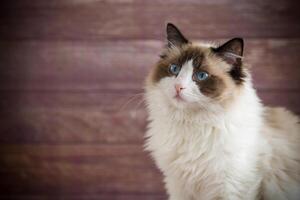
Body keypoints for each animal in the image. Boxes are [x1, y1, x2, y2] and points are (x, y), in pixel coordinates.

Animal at [144, 22, 298, 199]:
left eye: (201, 75)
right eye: (174, 69)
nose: (178, 87)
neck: (192, 124)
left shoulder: (230, 188)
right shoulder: (179, 187)